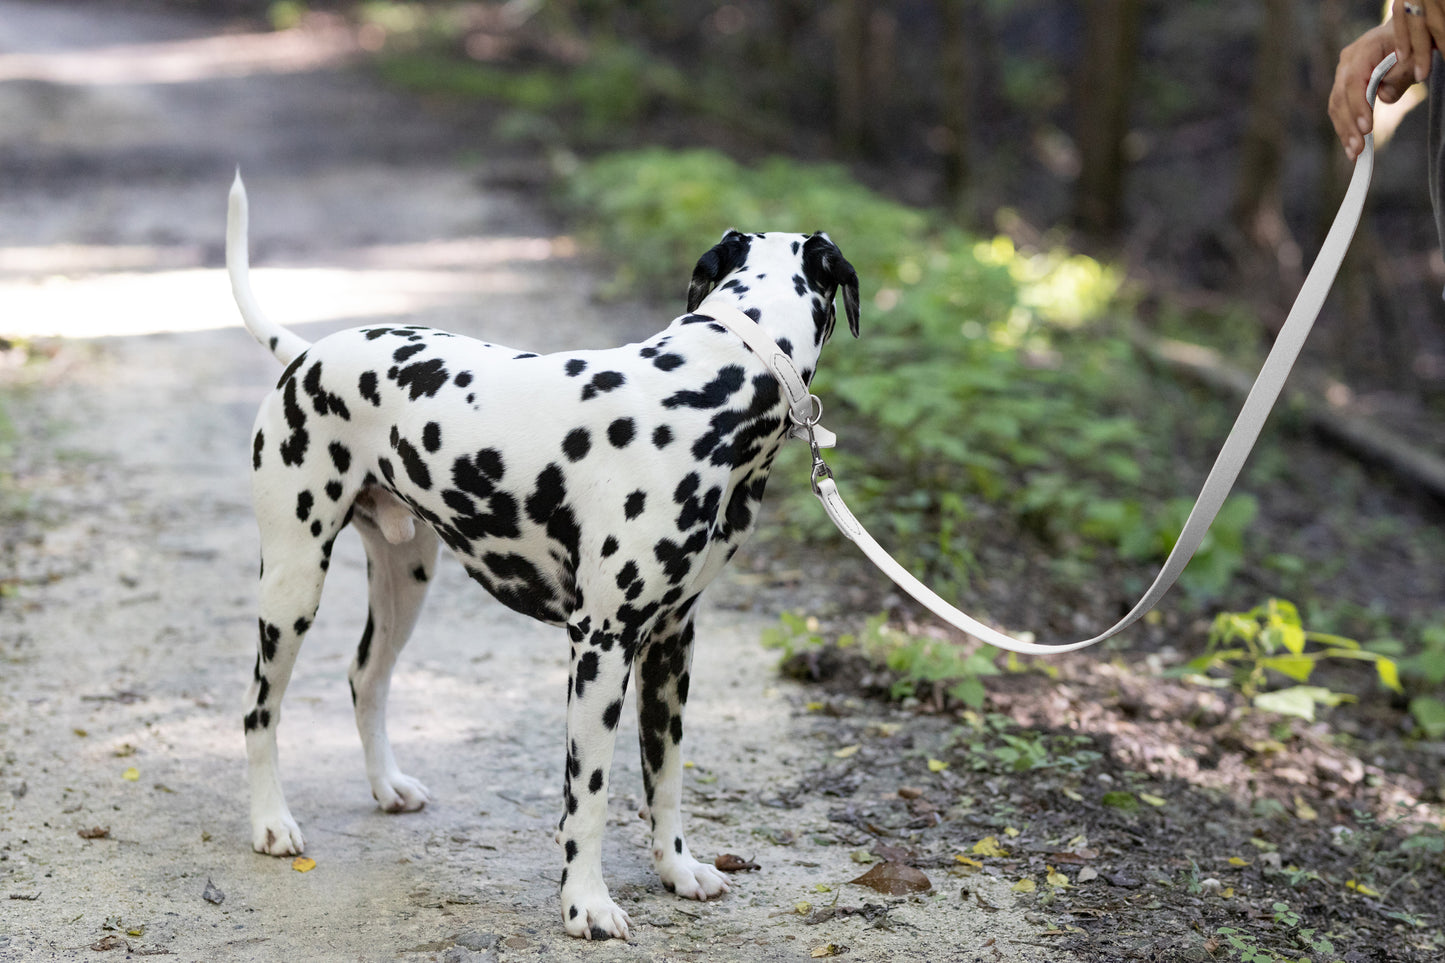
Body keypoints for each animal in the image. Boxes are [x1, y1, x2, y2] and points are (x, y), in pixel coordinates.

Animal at [225, 174, 855, 936]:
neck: (713, 383)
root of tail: (309, 352)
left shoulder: (671, 642)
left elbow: (665, 778)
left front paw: (677, 869)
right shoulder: (602, 644)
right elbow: (589, 794)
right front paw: (586, 903)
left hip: (406, 581)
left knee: (364, 678)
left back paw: (386, 785)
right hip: (292, 585)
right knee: (259, 708)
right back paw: (271, 821)